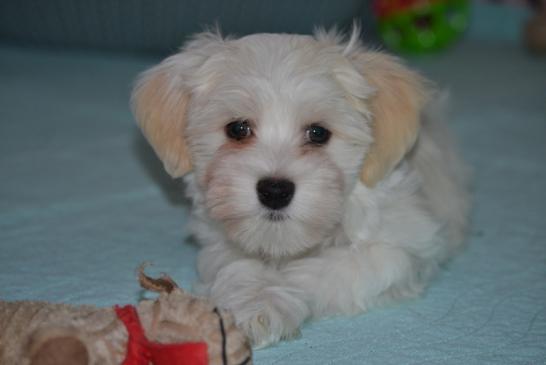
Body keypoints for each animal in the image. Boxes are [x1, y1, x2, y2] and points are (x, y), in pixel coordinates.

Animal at [131, 27, 468, 346]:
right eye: (238, 129)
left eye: (318, 133)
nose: (275, 191)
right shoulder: (219, 242)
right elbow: (238, 266)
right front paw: (252, 300)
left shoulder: (400, 247)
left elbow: (322, 270)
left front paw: (270, 300)